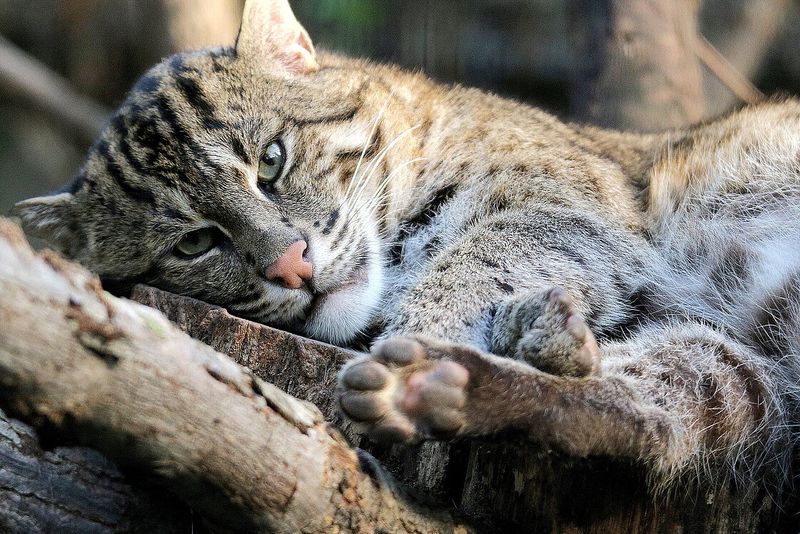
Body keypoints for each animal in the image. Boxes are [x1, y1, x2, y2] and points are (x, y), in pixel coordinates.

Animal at [10, 0, 800, 502]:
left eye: (271, 160)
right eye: (195, 243)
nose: (291, 265)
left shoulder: (573, 207)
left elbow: (479, 253)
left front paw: (429, 321)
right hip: (743, 373)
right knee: (651, 414)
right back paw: (454, 381)